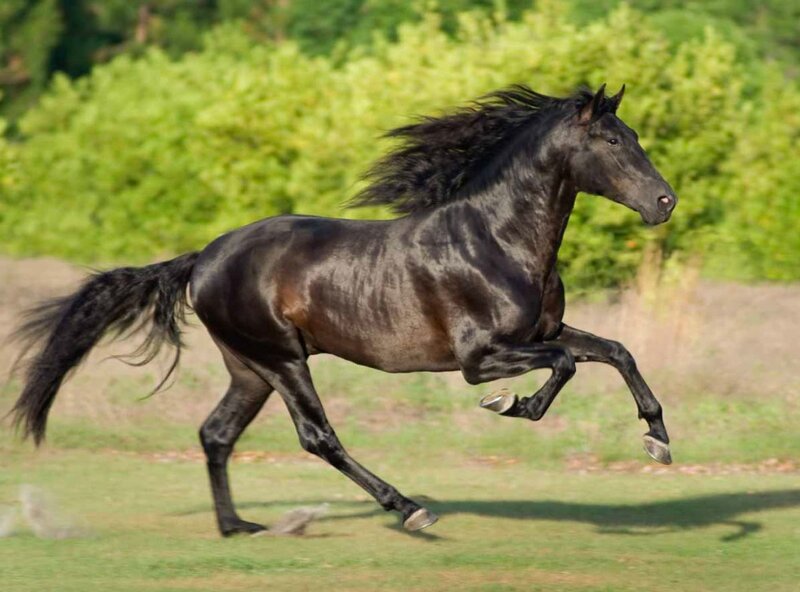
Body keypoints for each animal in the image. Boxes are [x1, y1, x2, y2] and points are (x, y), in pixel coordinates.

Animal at [10, 83, 677, 536]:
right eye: (612, 140)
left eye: (635, 137)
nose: (665, 202)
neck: (496, 240)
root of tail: (203, 260)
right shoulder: (478, 358)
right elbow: (562, 365)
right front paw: (512, 405)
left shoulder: (547, 328)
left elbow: (614, 351)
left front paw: (658, 439)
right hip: (282, 360)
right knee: (317, 437)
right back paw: (410, 509)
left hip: (249, 368)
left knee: (216, 432)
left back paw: (238, 527)